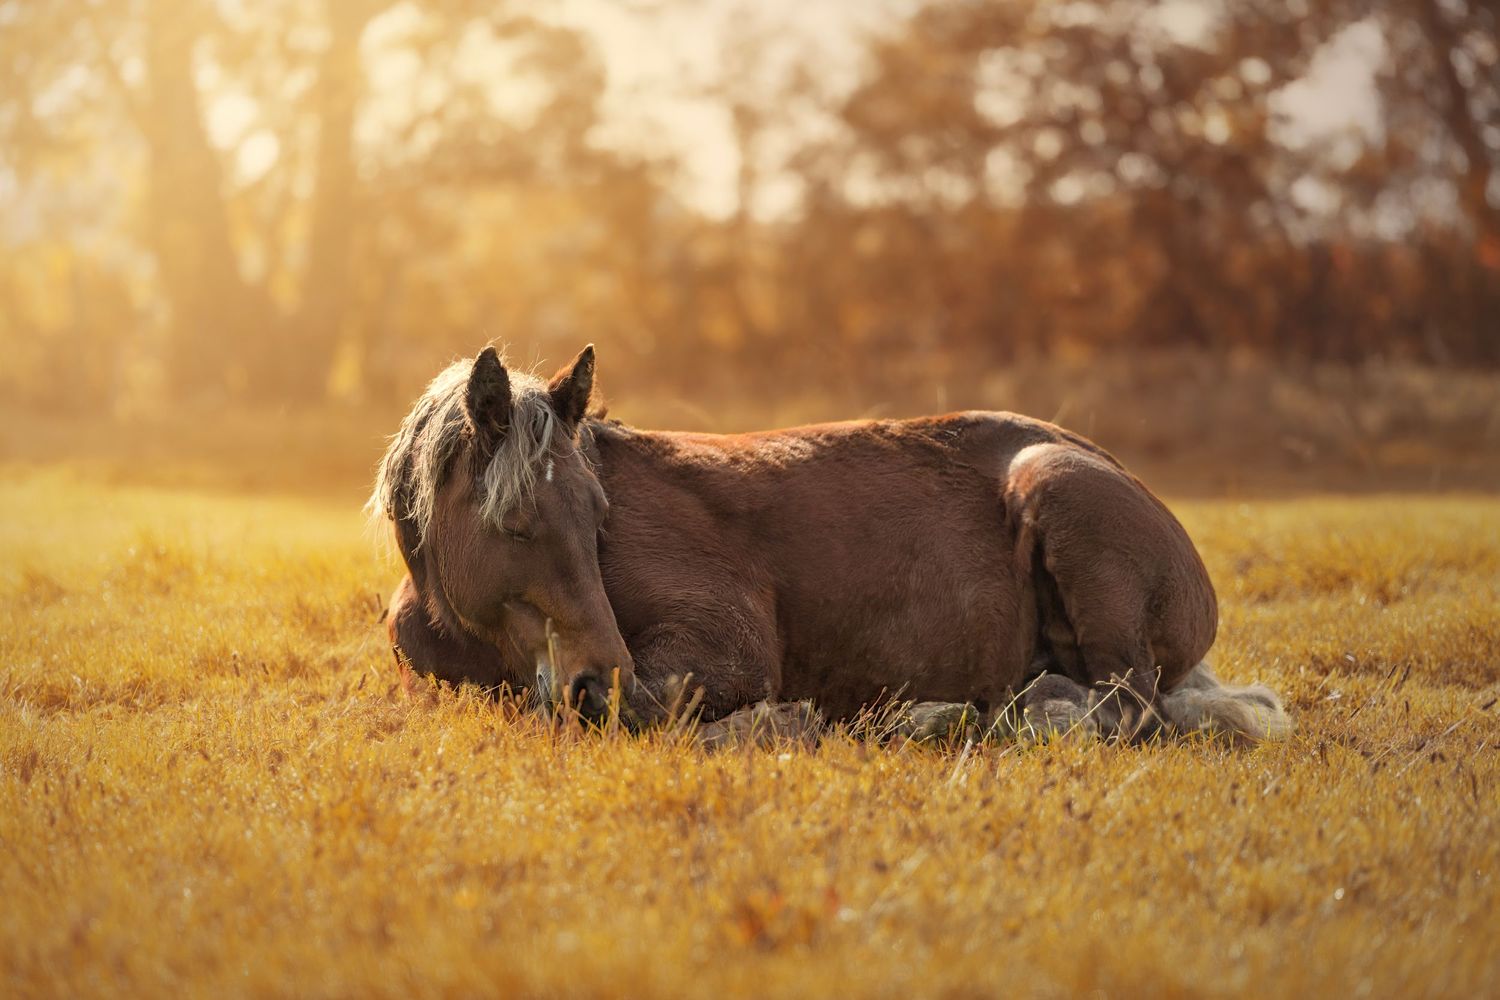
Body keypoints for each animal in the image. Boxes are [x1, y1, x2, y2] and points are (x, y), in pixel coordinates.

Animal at [369, 345, 1289, 745]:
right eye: (515, 524)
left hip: (1057, 491)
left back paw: (946, 714)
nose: (596, 679)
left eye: (600, 516)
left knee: (1129, 706)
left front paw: (791, 719)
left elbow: (676, 706)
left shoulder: (726, 645)